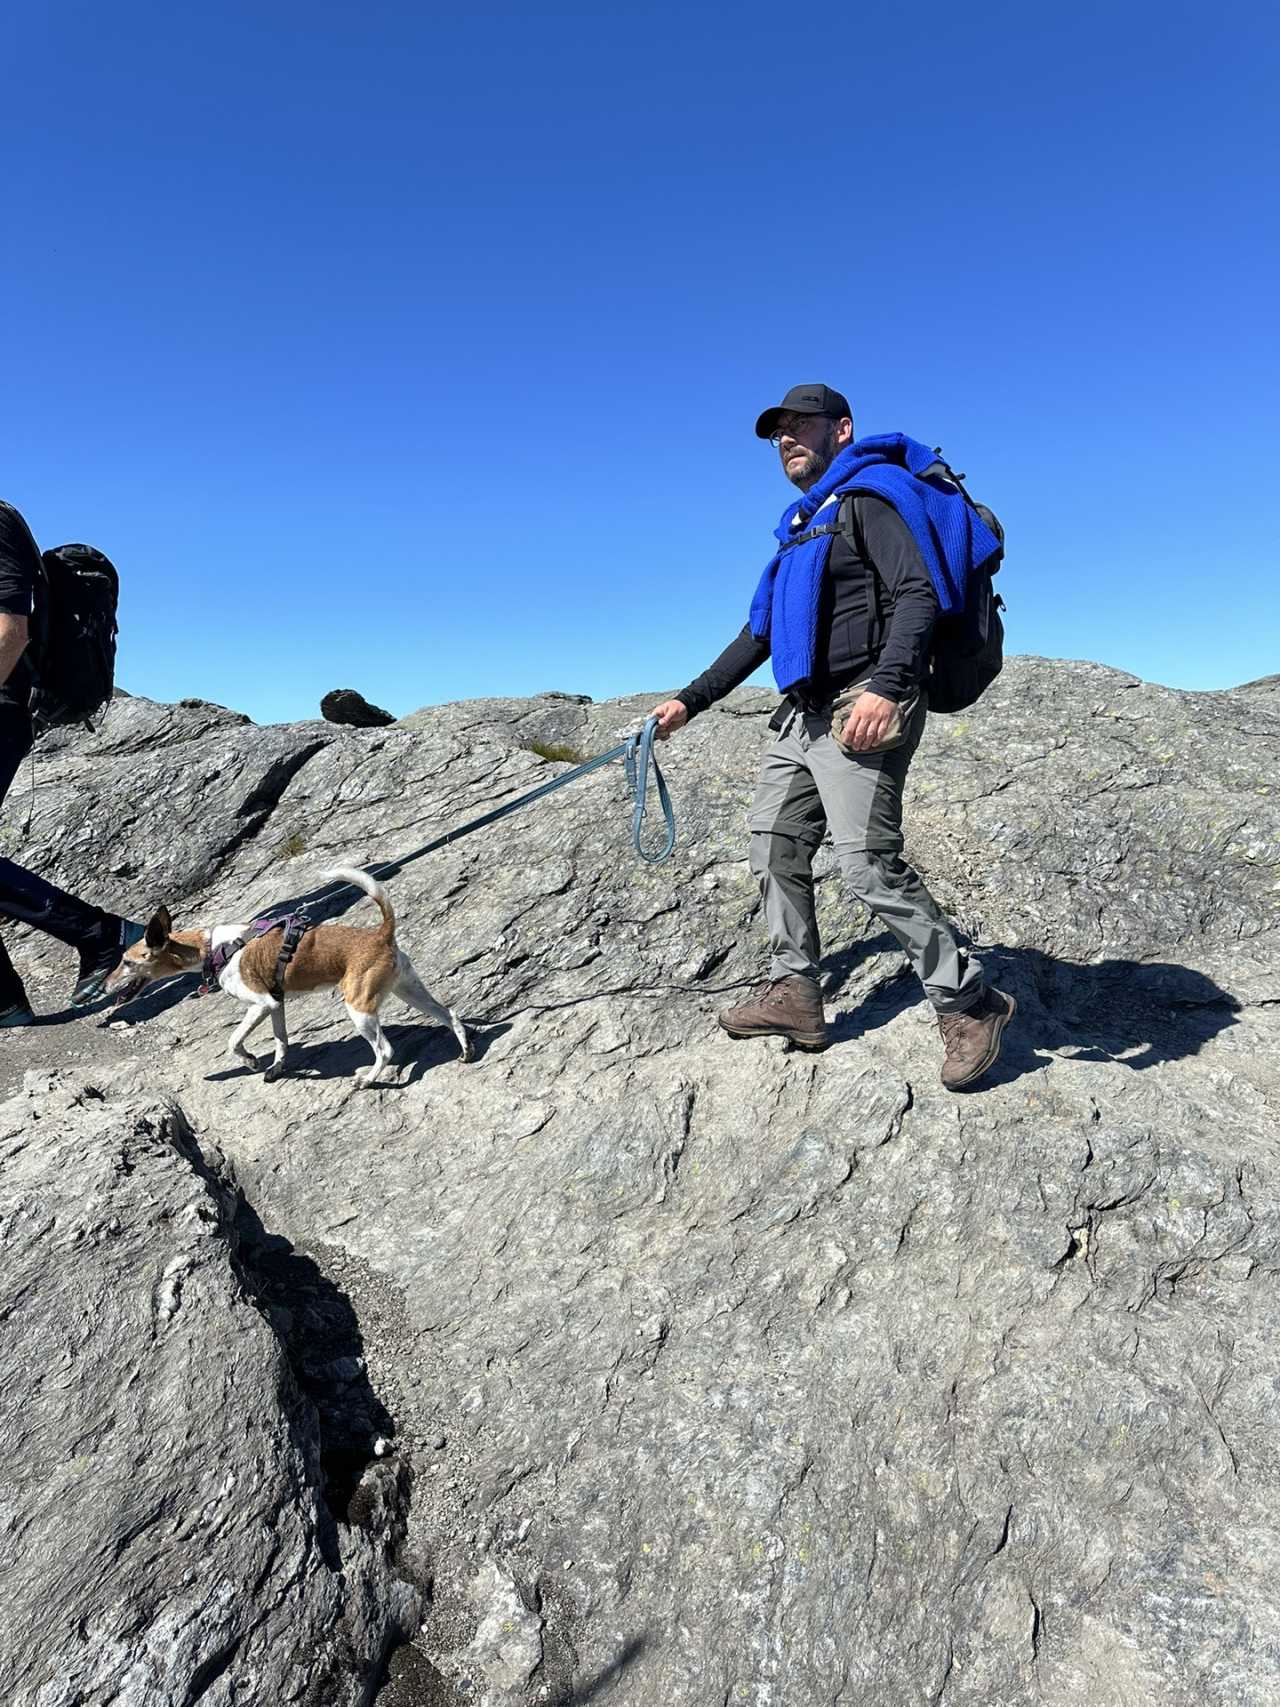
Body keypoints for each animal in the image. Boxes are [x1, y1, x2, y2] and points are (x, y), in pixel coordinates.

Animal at [107, 873, 471, 1085]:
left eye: (126, 962)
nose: (106, 984)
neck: (212, 947)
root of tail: (381, 934)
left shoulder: (260, 1003)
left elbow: (234, 1041)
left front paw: (251, 1062)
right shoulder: (276, 1004)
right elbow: (282, 1040)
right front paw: (277, 1068)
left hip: (360, 1008)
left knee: (385, 1050)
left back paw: (367, 1079)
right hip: (409, 990)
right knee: (450, 1015)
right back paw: (466, 1051)